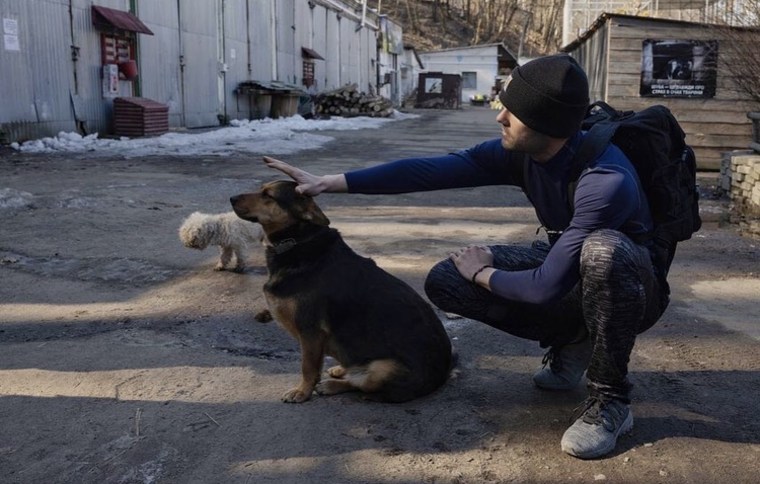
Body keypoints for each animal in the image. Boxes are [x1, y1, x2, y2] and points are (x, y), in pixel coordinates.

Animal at [230, 180, 452, 402]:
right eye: (261, 189)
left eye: (268, 195)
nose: (231, 198)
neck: (296, 240)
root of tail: (444, 373)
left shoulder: (310, 330)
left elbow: (308, 367)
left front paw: (302, 391)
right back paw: (341, 370)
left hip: (382, 369)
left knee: (362, 386)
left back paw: (332, 385)